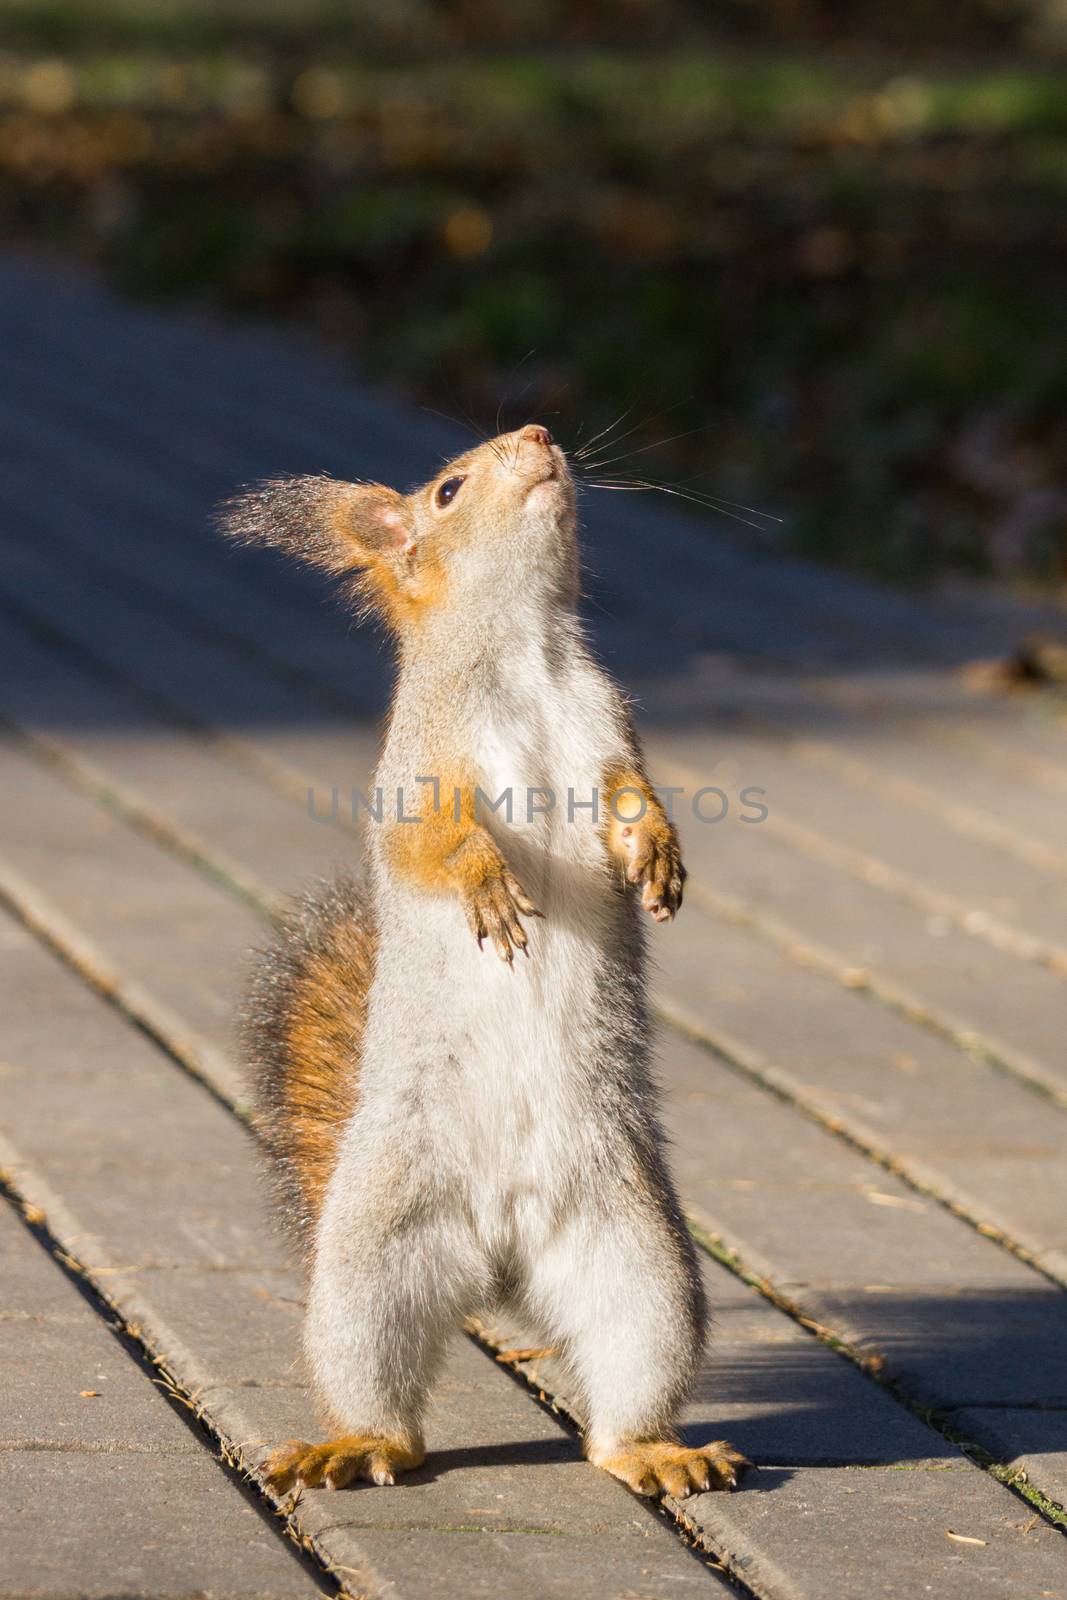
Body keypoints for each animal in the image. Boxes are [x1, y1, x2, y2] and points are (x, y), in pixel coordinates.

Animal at [217, 422, 751, 1497]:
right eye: (450, 490)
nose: (540, 437)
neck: (523, 655)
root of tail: (501, 1252)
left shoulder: (607, 730)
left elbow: (630, 796)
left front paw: (658, 854)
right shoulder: (422, 764)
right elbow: (433, 842)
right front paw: (487, 887)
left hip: (639, 1261)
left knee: (624, 1389)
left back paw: (656, 1451)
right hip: (373, 1258)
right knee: (381, 1395)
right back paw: (355, 1444)